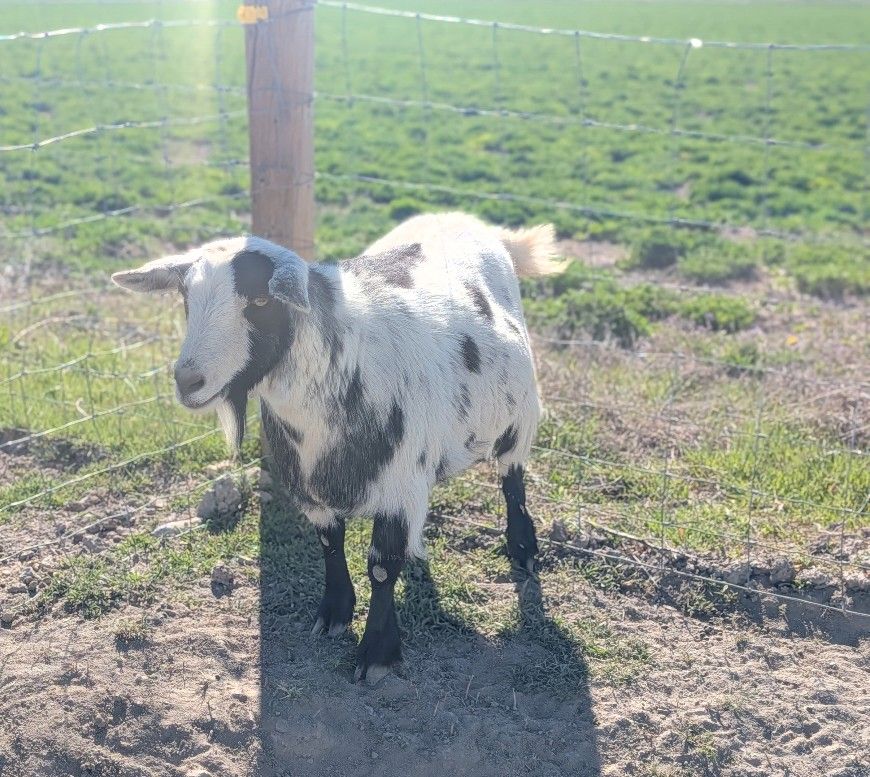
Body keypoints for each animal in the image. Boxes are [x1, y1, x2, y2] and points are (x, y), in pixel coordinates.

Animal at [112, 212, 560, 684]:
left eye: (260, 301)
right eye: (185, 297)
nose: (187, 381)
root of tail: (464, 219)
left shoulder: (398, 485)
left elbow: (382, 566)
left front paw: (377, 652)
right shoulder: (311, 484)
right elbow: (329, 542)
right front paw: (334, 613)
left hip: (520, 417)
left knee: (512, 481)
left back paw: (523, 548)